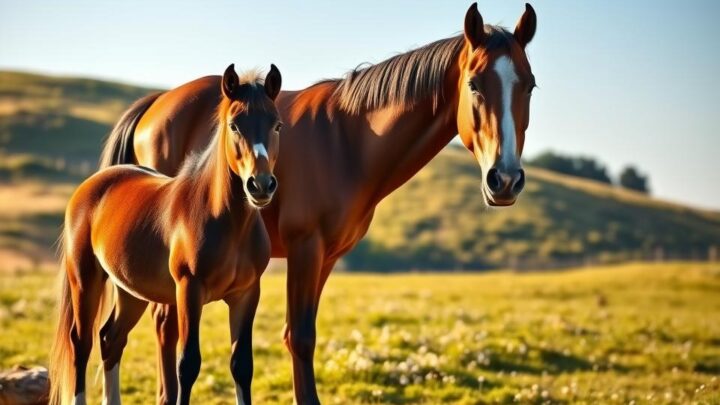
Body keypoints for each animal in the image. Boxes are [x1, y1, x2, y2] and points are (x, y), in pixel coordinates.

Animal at [49, 64, 283, 405]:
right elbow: (188, 363)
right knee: (81, 342)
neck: (228, 223)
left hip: (131, 290)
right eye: (234, 125)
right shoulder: (189, 290)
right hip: (85, 279)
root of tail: (93, 184)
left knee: (110, 338)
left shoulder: (247, 294)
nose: (261, 185)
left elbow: (242, 365)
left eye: (277, 124)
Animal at [99, 3, 537, 403]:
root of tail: (156, 103)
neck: (348, 141)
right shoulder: (304, 248)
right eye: (475, 85)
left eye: (530, 85)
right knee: (162, 325)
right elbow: (300, 338)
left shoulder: (326, 256)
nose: (505, 179)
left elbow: (299, 333)